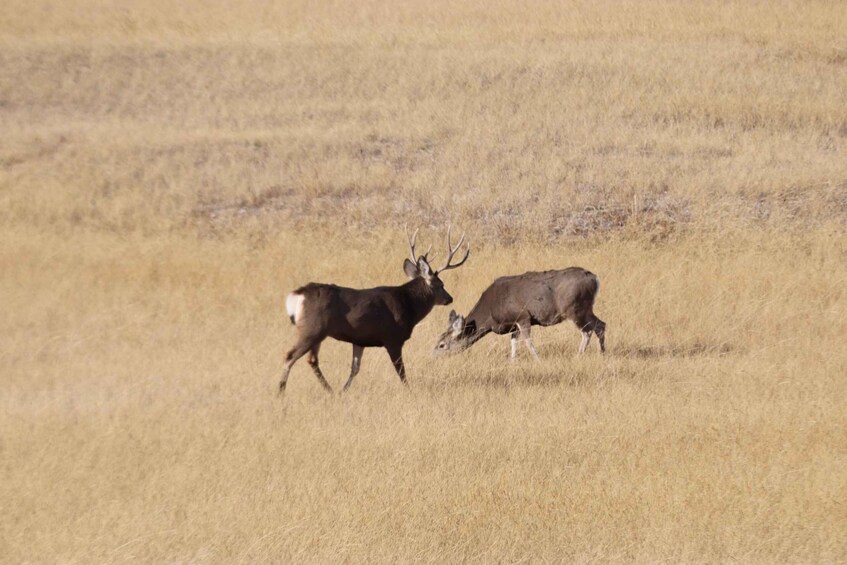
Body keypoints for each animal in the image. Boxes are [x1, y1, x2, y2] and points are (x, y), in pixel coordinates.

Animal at [280, 227, 470, 394]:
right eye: (441, 285)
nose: (450, 298)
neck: (408, 305)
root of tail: (297, 295)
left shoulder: (359, 339)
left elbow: (355, 368)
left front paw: (343, 391)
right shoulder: (392, 338)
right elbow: (401, 371)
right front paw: (410, 391)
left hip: (318, 332)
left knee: (311, 359)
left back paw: (330, 390)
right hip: (312, 328)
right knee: (289, 356)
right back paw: (281, 392)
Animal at [434, 268, 608, 356]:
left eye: (442, 345)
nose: (432, 355)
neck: (490, 313)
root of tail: (595, 278)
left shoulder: (523, 316)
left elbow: (528, 342)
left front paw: (538, 360)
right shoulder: (513, 323)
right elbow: (513, 343)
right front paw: (513, 362)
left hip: (575, 309)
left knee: (587, 331)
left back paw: (579, 356)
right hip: (586, 308)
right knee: (601, 325)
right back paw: (602, 353)